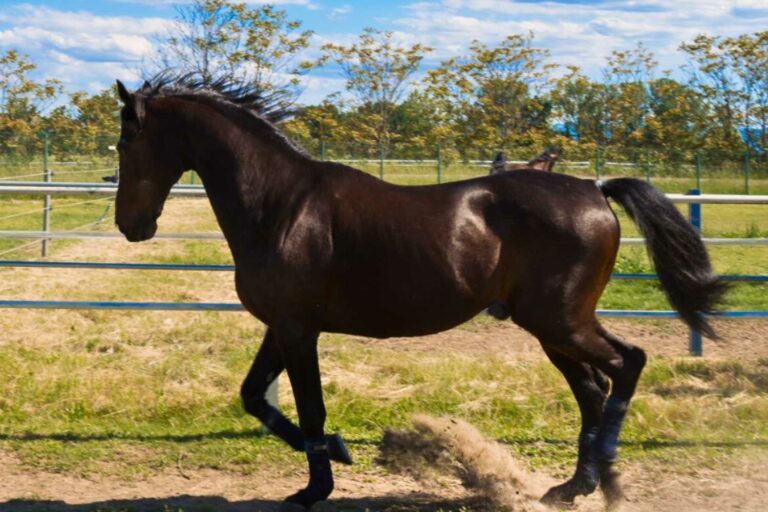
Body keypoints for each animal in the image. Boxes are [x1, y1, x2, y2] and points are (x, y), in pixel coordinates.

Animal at [113, 77, 726, 510]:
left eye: (126, 144)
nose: (130, 225)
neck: (281, 207)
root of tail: (594, 188)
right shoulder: (283, 327)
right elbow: (254, 396)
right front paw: (338, 453)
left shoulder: (298, 329)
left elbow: (309, 408)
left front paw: (316, 486)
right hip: (553, 328)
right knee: (593, 390)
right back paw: (578, 487)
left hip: (560, 321)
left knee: (627, 364)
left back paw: (605, 477)